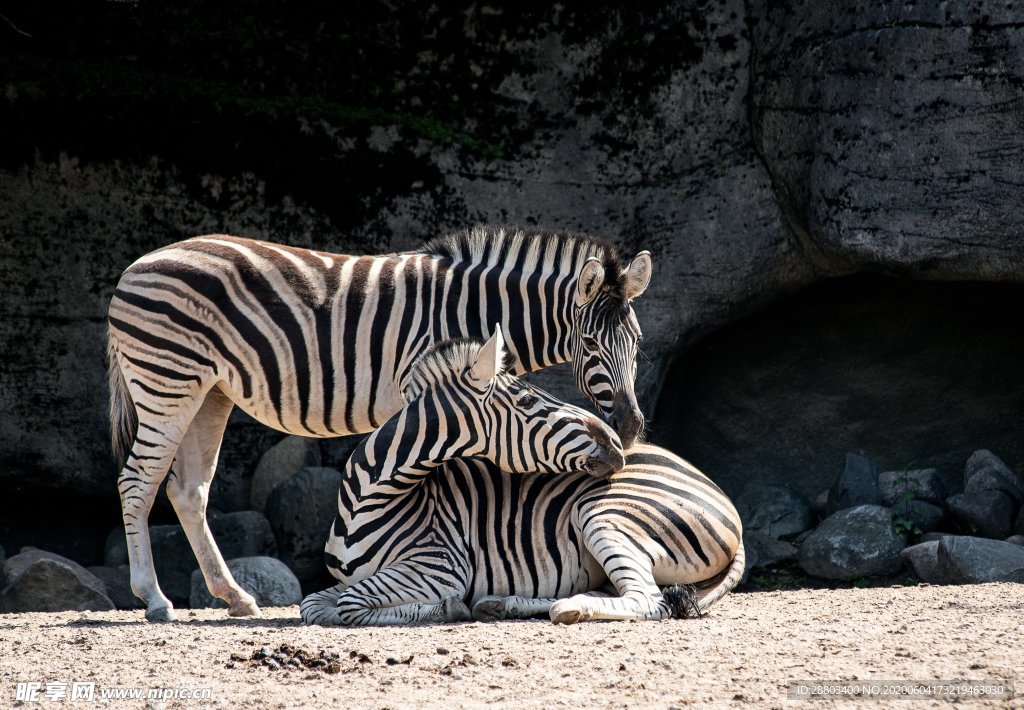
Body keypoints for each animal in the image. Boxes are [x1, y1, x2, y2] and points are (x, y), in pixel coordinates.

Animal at [108, 224, 651, 618]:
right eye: (590, 344)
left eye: (638, 341)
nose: (628, 428)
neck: (478, 308)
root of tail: (135, 267)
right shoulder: (424, 387)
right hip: (167, 380)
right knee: (138, 482)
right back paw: (155, 599)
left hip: (210, 391)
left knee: (187, 490)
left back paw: (235, 597)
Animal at [299, 329, 741, 622]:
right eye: (529, 400)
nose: (618, 443)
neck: (368, 498)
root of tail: (721, 495)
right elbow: (314, 606)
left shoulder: (440, 566)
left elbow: (348, 606)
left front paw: (447, 607)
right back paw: (502, 602)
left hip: (604, 514)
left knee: (648, 599)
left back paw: (568, 608)